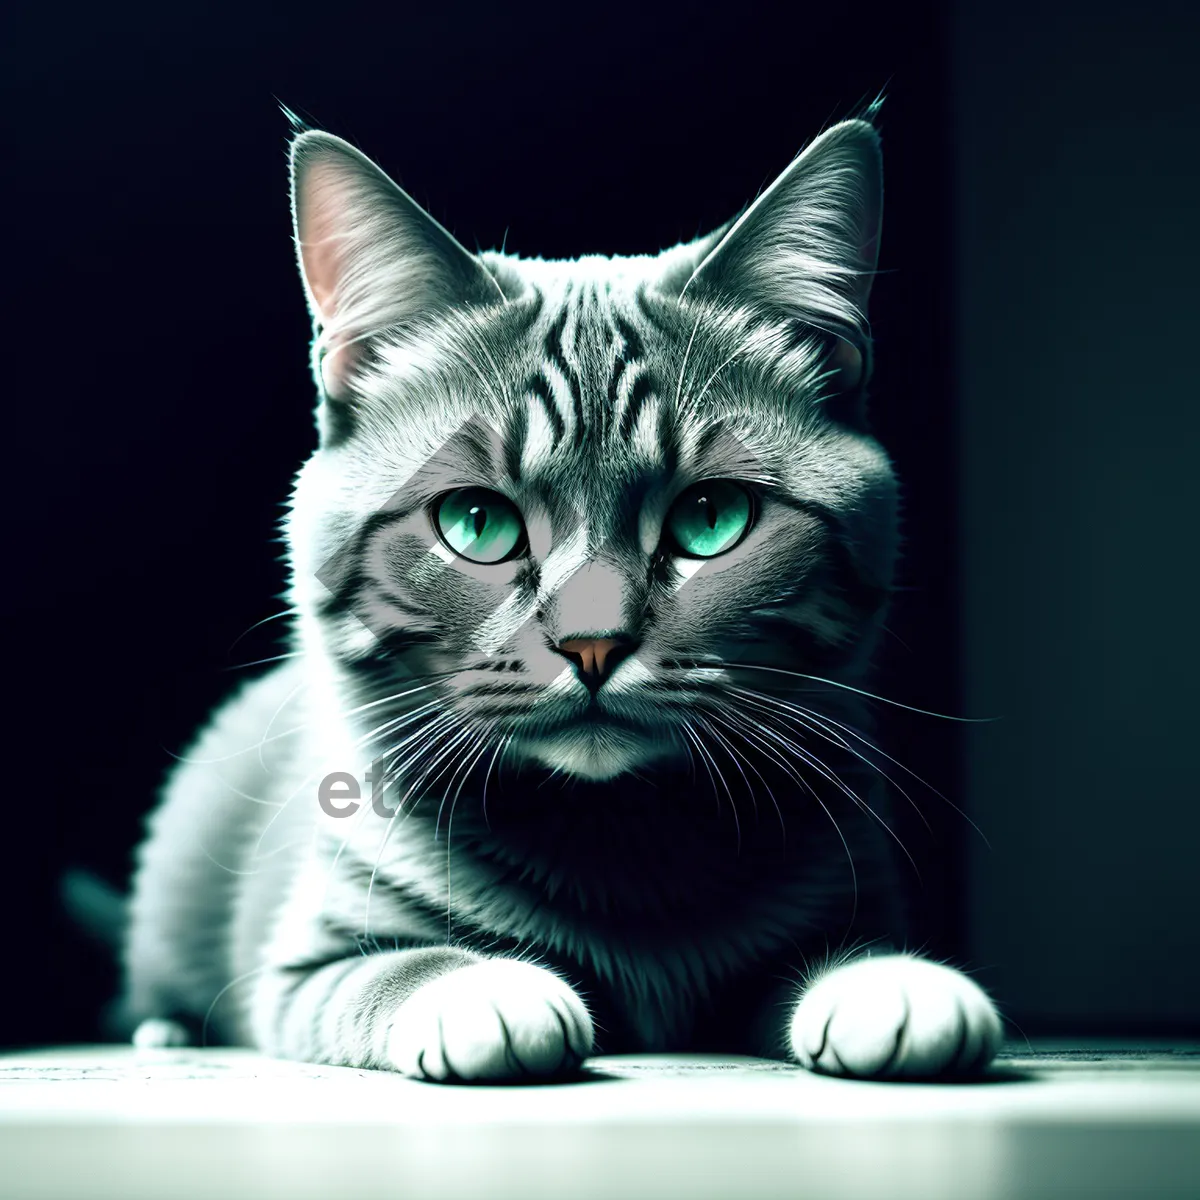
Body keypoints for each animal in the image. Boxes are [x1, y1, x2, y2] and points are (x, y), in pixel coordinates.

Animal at [121, 112, 1003, 1084]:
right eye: (475, 521)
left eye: (711, 517)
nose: (592, 641)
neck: (622, 839)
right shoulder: (307, 963)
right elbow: (388, 969)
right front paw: (482, 990)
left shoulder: (848, 893)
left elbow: (831, 949)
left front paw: (891, 983)